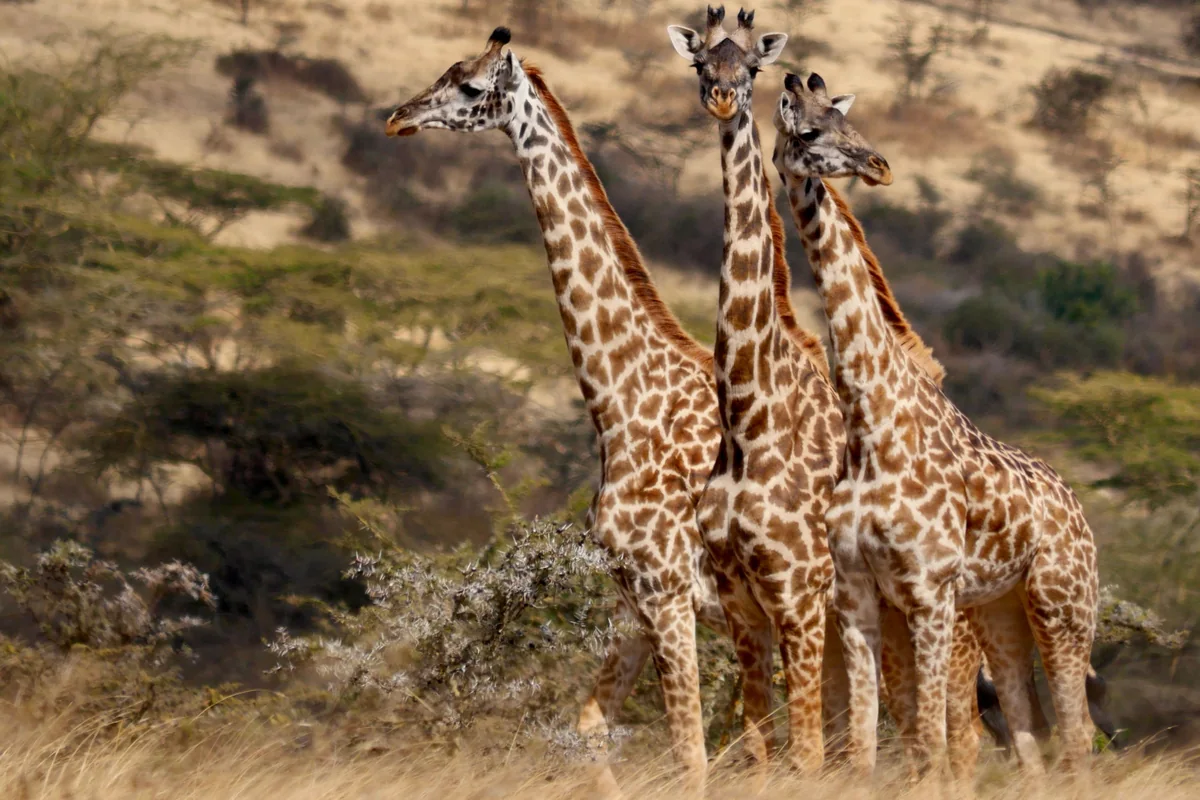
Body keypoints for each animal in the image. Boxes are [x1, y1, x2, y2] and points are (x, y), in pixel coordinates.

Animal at [769, 71, 1099, 780]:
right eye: (808, 131)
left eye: (848, 122)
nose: (879, 166)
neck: (871, 421)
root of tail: (1080, 514)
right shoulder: (857, 593)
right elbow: (865, 748)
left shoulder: (928, 590)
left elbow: (932, 745)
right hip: (1001, 611)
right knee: (1032, 736)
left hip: (1062, 607)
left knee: (1078, 736)